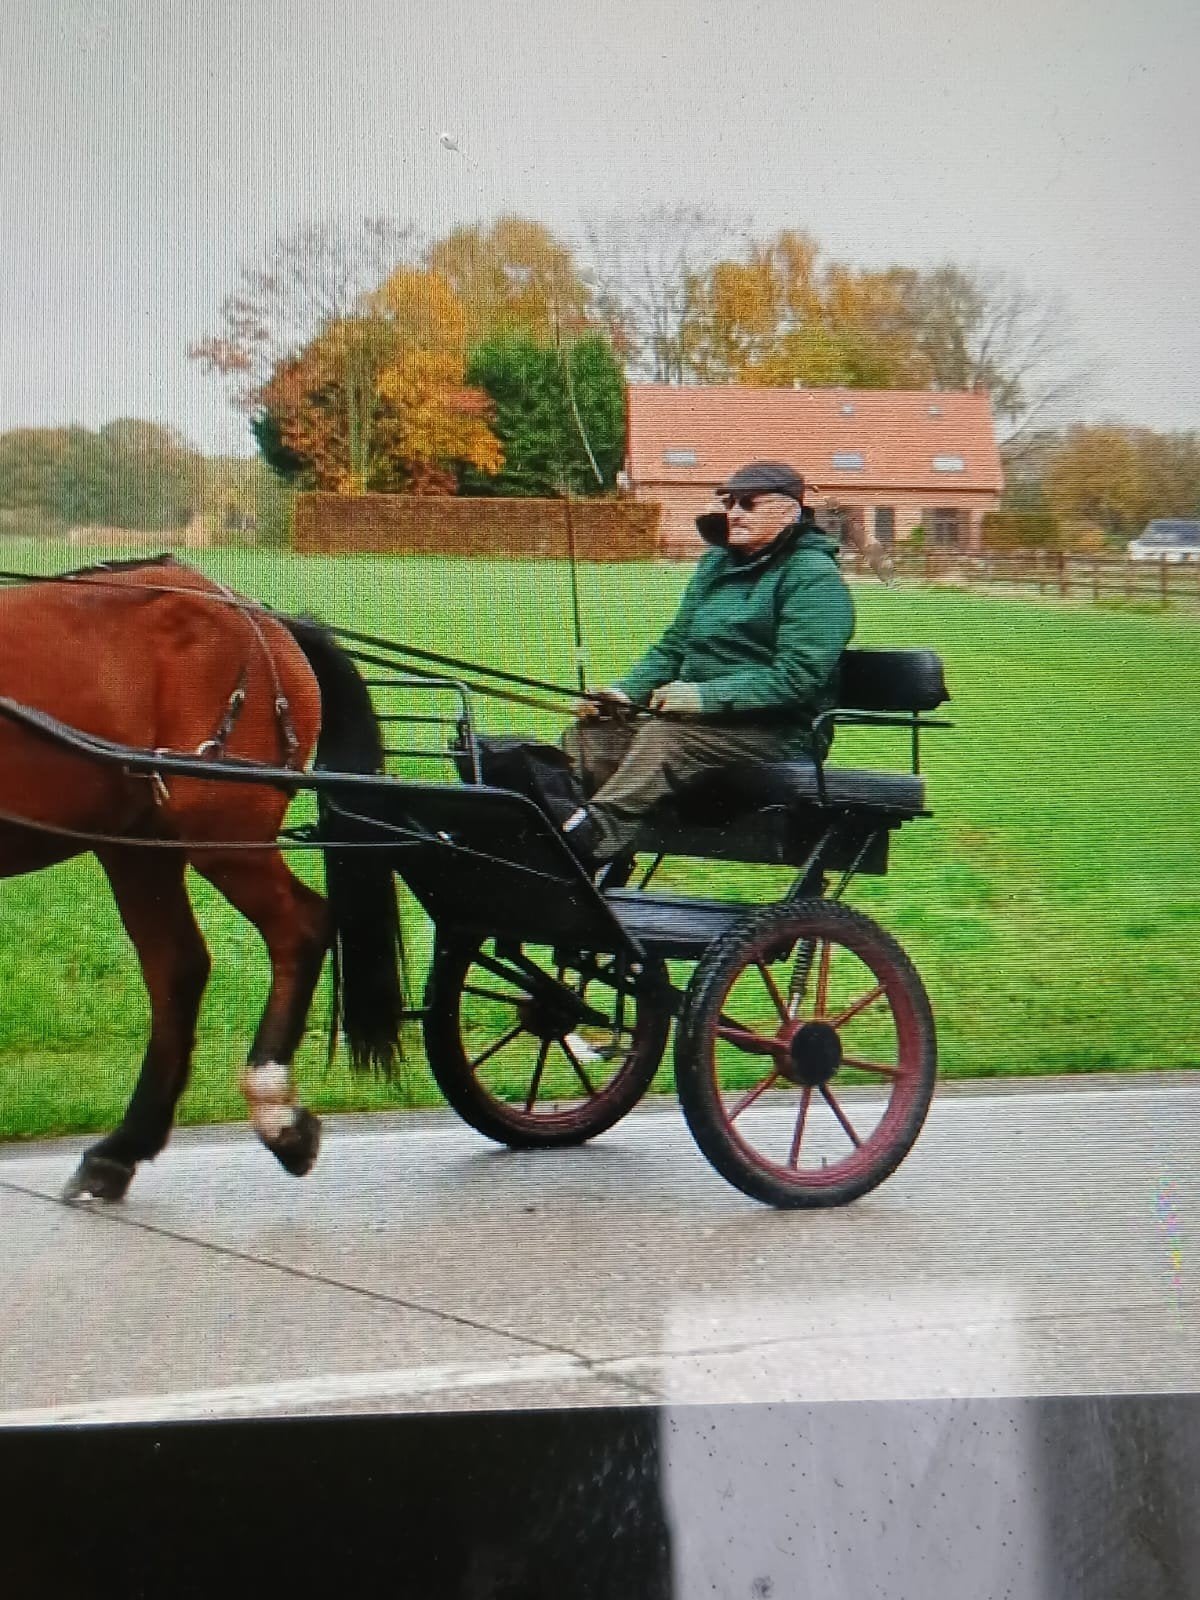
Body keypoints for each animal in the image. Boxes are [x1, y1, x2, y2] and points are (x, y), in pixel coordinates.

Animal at [0, 555, 406, 1202]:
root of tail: (262, 618)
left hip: (223, 835)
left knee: (299, 927)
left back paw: (275, 1112)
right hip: (141, 846)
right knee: (177, 967)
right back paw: (122, 1147)